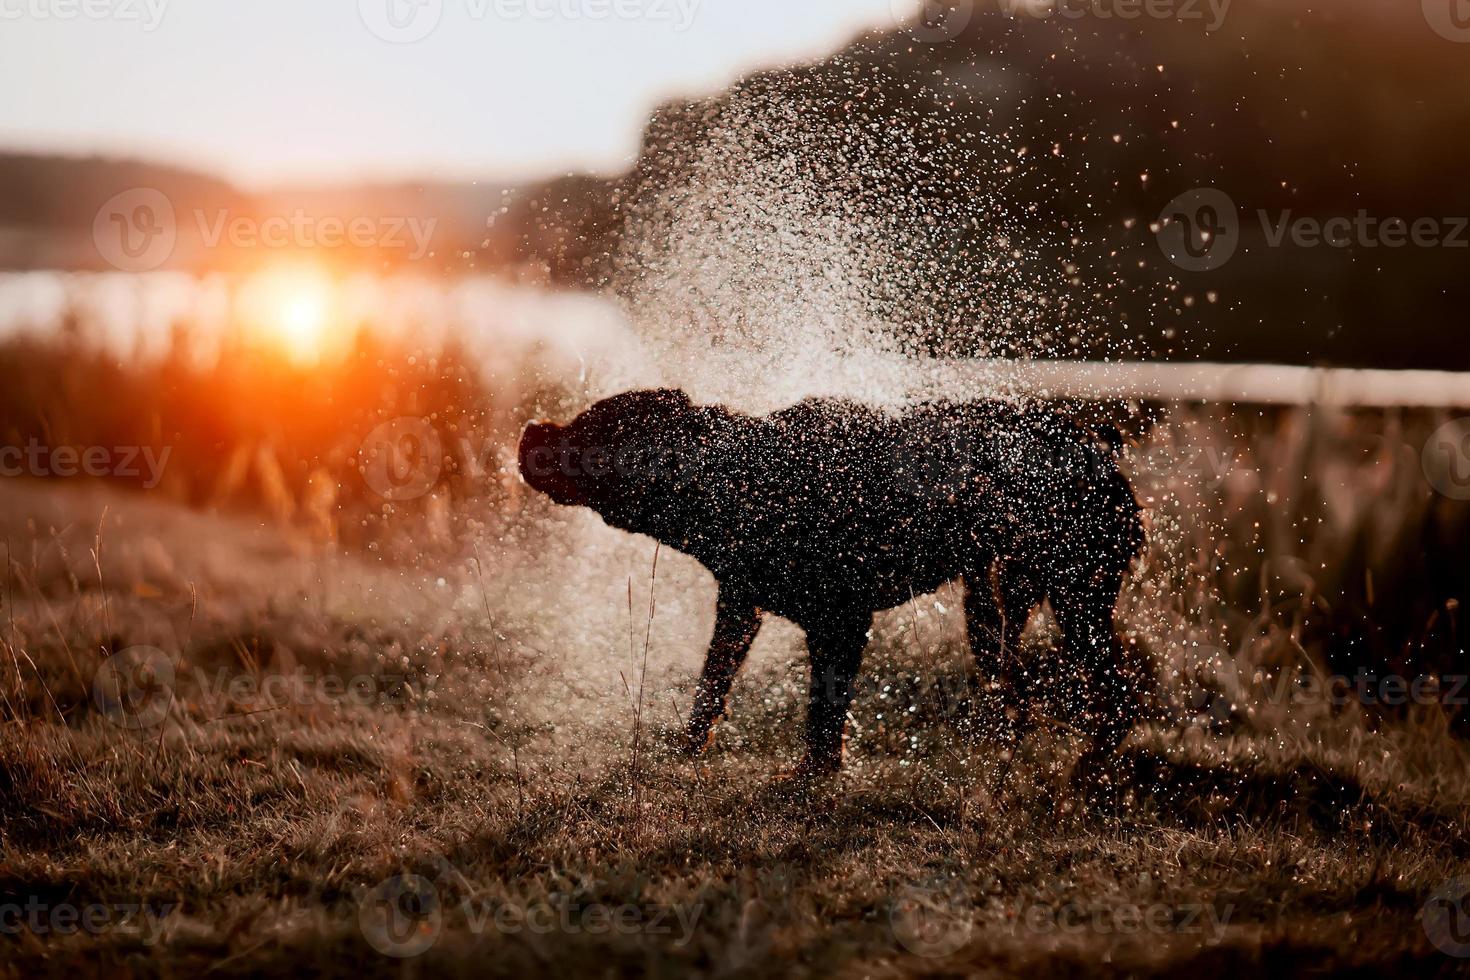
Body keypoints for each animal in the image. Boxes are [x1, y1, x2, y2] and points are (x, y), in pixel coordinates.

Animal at [520, 390, 1146, 781]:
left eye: (589, 427)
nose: (530, 429)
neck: (745, 480)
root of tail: (1098, 446)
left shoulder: (840, 620)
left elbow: (823, 708)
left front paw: (812, 775)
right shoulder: (741, 607)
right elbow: (712, 684)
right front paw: (689, 747)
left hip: (1075, 593)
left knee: (1119, 690)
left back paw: (1086, 770)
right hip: (1002, 591)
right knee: (1018, 678)